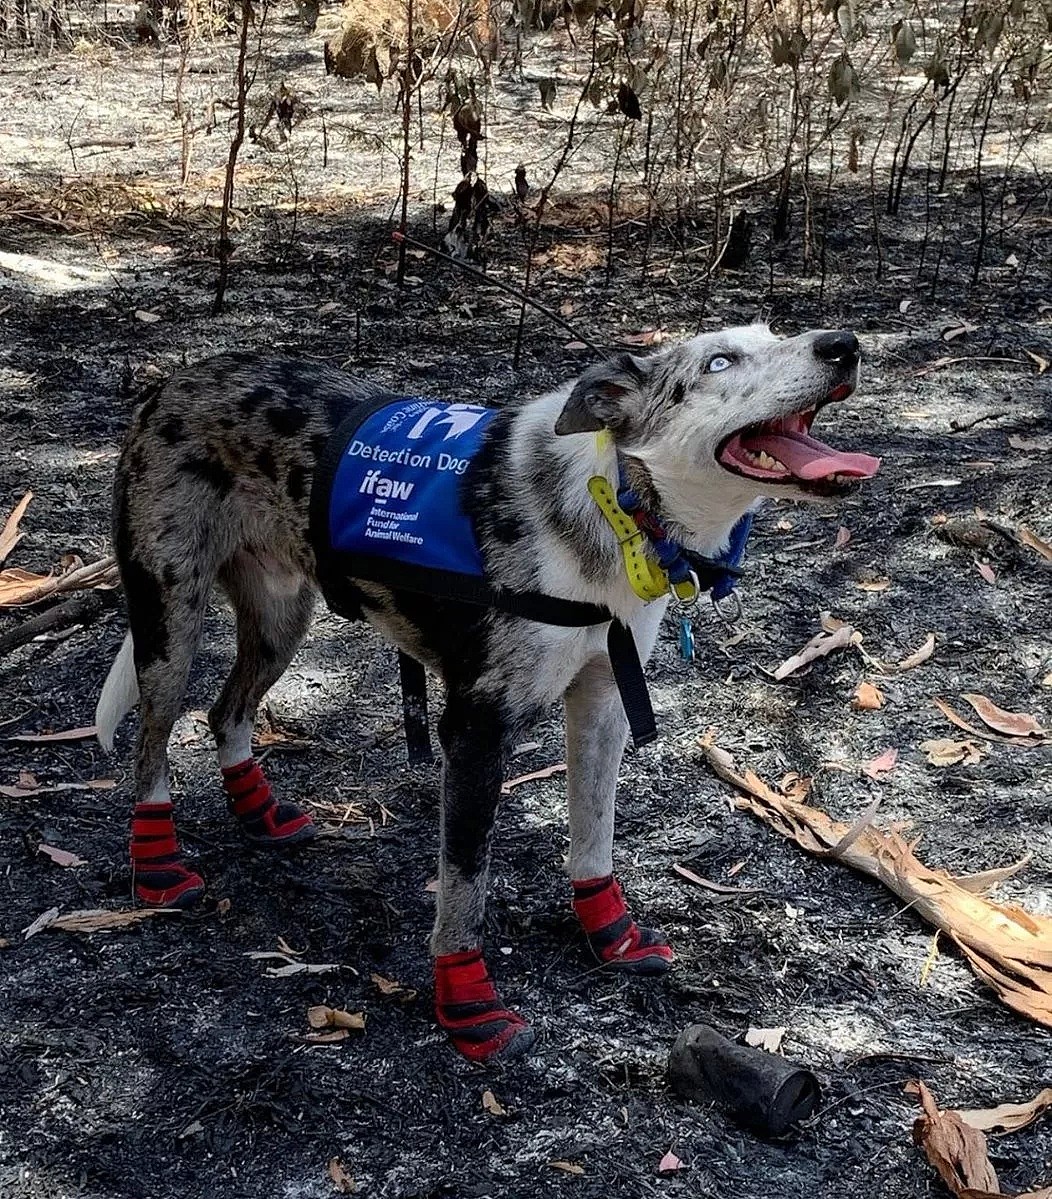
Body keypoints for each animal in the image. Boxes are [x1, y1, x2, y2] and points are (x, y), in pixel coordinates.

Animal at [94, 326, 878, 1059]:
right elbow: (465, 887)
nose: (842, 345)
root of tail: (175, 380)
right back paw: (157, 864)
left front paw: (613, 938)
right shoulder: (475, 731)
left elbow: (593, 840)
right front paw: (469, 1007)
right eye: (719, 362)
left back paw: (257, 811)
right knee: (151, 743)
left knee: (225, 710)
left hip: (282, 618)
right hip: (169, 623)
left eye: (775, 334)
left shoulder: (603, 704)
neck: (615, 504)